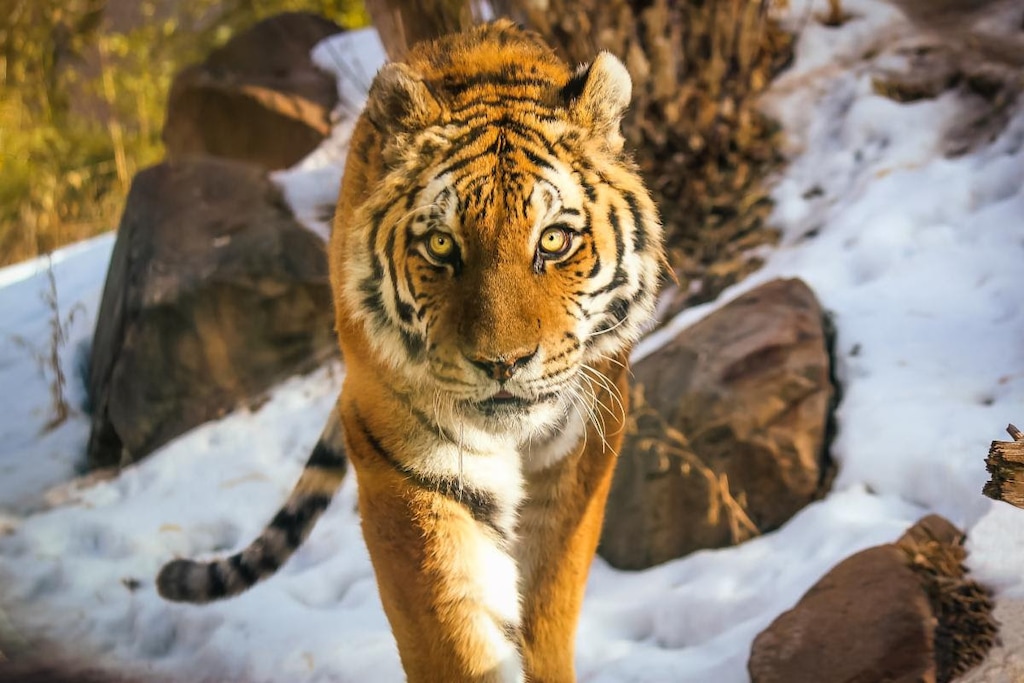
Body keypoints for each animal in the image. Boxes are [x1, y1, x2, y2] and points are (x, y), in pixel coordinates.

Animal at [157, 20, 664, 682]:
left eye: (554, 240)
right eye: (442, 245)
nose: (502, 364)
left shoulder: (579, 456)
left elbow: (548, 606)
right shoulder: (409, 471)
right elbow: (454, 631)